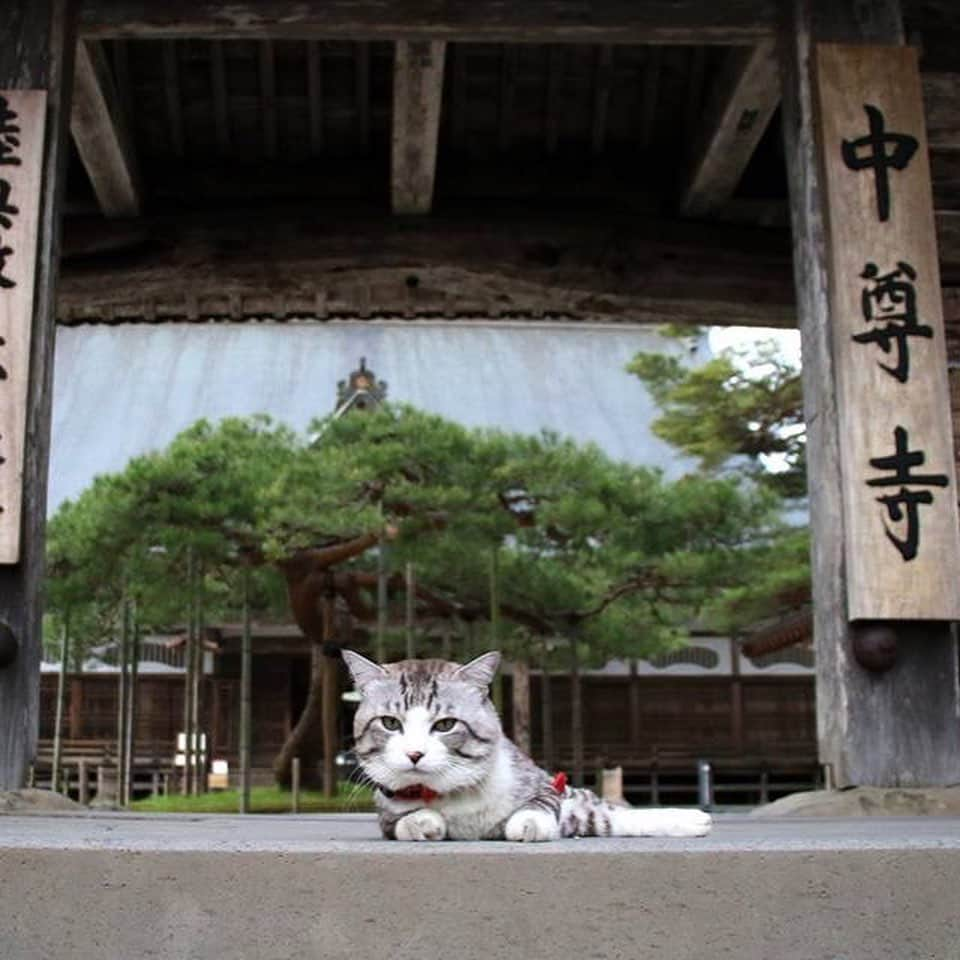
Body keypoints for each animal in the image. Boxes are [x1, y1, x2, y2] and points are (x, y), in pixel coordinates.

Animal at [342, 648, 708, 844]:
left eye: (445, 725)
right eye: (390, 723)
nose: (414, 754)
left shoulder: (543, 784)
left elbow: (540, 804)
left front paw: (529, 823)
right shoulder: (385, 810)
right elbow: (399, 823)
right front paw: (421, 822)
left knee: (607, 814)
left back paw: (691, 819)